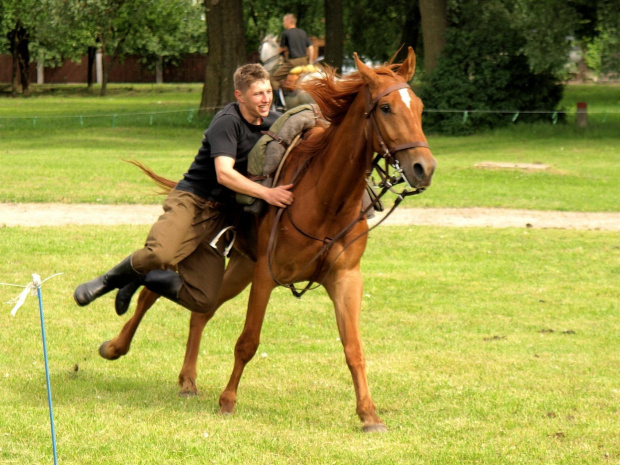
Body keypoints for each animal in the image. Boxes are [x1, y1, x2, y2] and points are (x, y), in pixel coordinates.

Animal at [98, 47, 436, 432]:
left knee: (199, 310)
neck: (326, 199)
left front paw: (369, 414)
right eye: (386, 108)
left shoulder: (346, 279)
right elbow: (248, 341)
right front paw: (228, 400)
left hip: (237, 269)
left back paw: (187, 379)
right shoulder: (266, 277)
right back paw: (115, 340)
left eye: (419, 107)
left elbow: (354, 349)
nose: (424, 167)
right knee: (149, 288)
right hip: (190, 249)